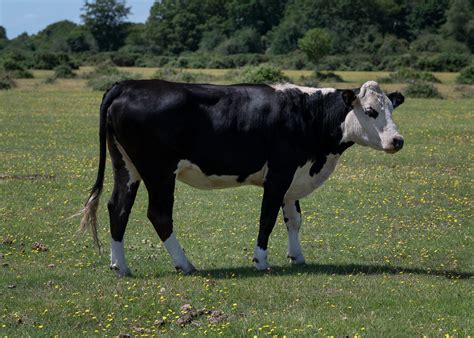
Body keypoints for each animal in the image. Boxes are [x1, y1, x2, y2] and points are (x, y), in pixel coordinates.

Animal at [78, 80, 404, 278]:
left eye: (391, 108)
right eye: (371, 111)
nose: (397, 140)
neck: (308, 114)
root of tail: (128, 85)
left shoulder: (293, 178)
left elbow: (293, 219)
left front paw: (297, 257)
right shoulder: (280, 174)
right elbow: (267, 218)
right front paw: (261, 260)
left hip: (127, 166)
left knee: (118, 207)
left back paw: (120, 266)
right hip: (158, 171)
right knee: (158, 214)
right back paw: (184, 264)